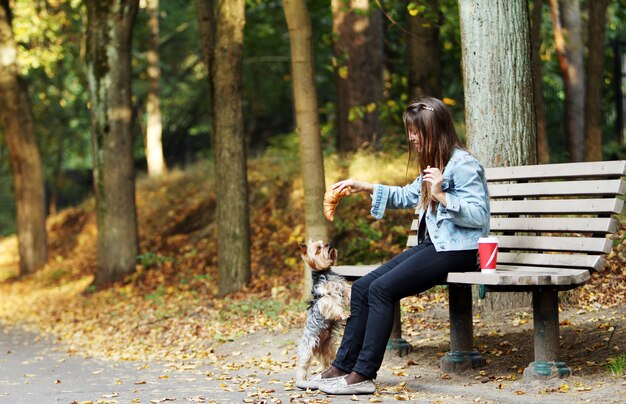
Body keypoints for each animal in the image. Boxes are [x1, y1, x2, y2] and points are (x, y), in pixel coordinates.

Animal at [294, 240, 348, 388]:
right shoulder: (324, 299)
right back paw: (301, 381)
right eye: (319, 248)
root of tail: (318, 346)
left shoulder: (341, 287)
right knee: (302, 366)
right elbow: (333, 305)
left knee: (327, 361)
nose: (329, 244)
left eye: (323, 244)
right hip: (307, 349)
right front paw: (344, 314)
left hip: (327, 348)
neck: (324, 273)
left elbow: (348, 291)